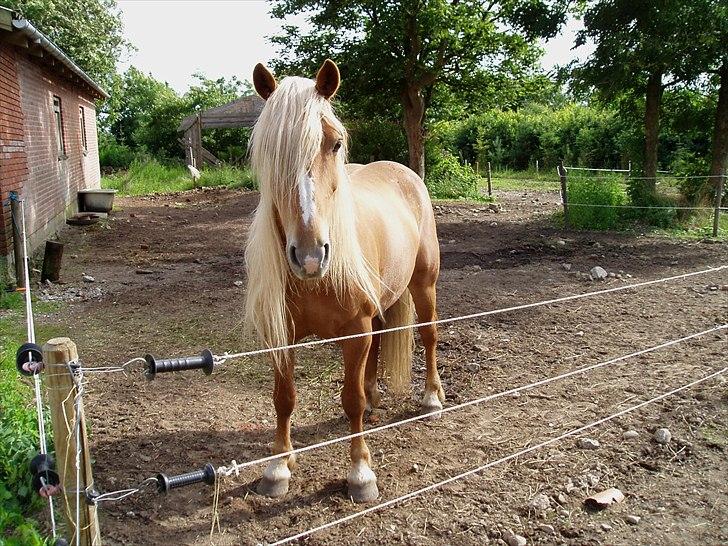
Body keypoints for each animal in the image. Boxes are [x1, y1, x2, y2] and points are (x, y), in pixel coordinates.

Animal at [245, 59, 444, 502]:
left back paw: (431, 398)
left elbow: (349, 399)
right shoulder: (282, 335)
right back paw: (376, 397)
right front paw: (278, 467)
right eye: (269, 151)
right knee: (382, 340)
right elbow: (283, 398)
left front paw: (360, 473)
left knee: (428, 335)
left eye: (335, 144)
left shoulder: (355, 330)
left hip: (424, 285)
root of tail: (404, 172)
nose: (310, 255)